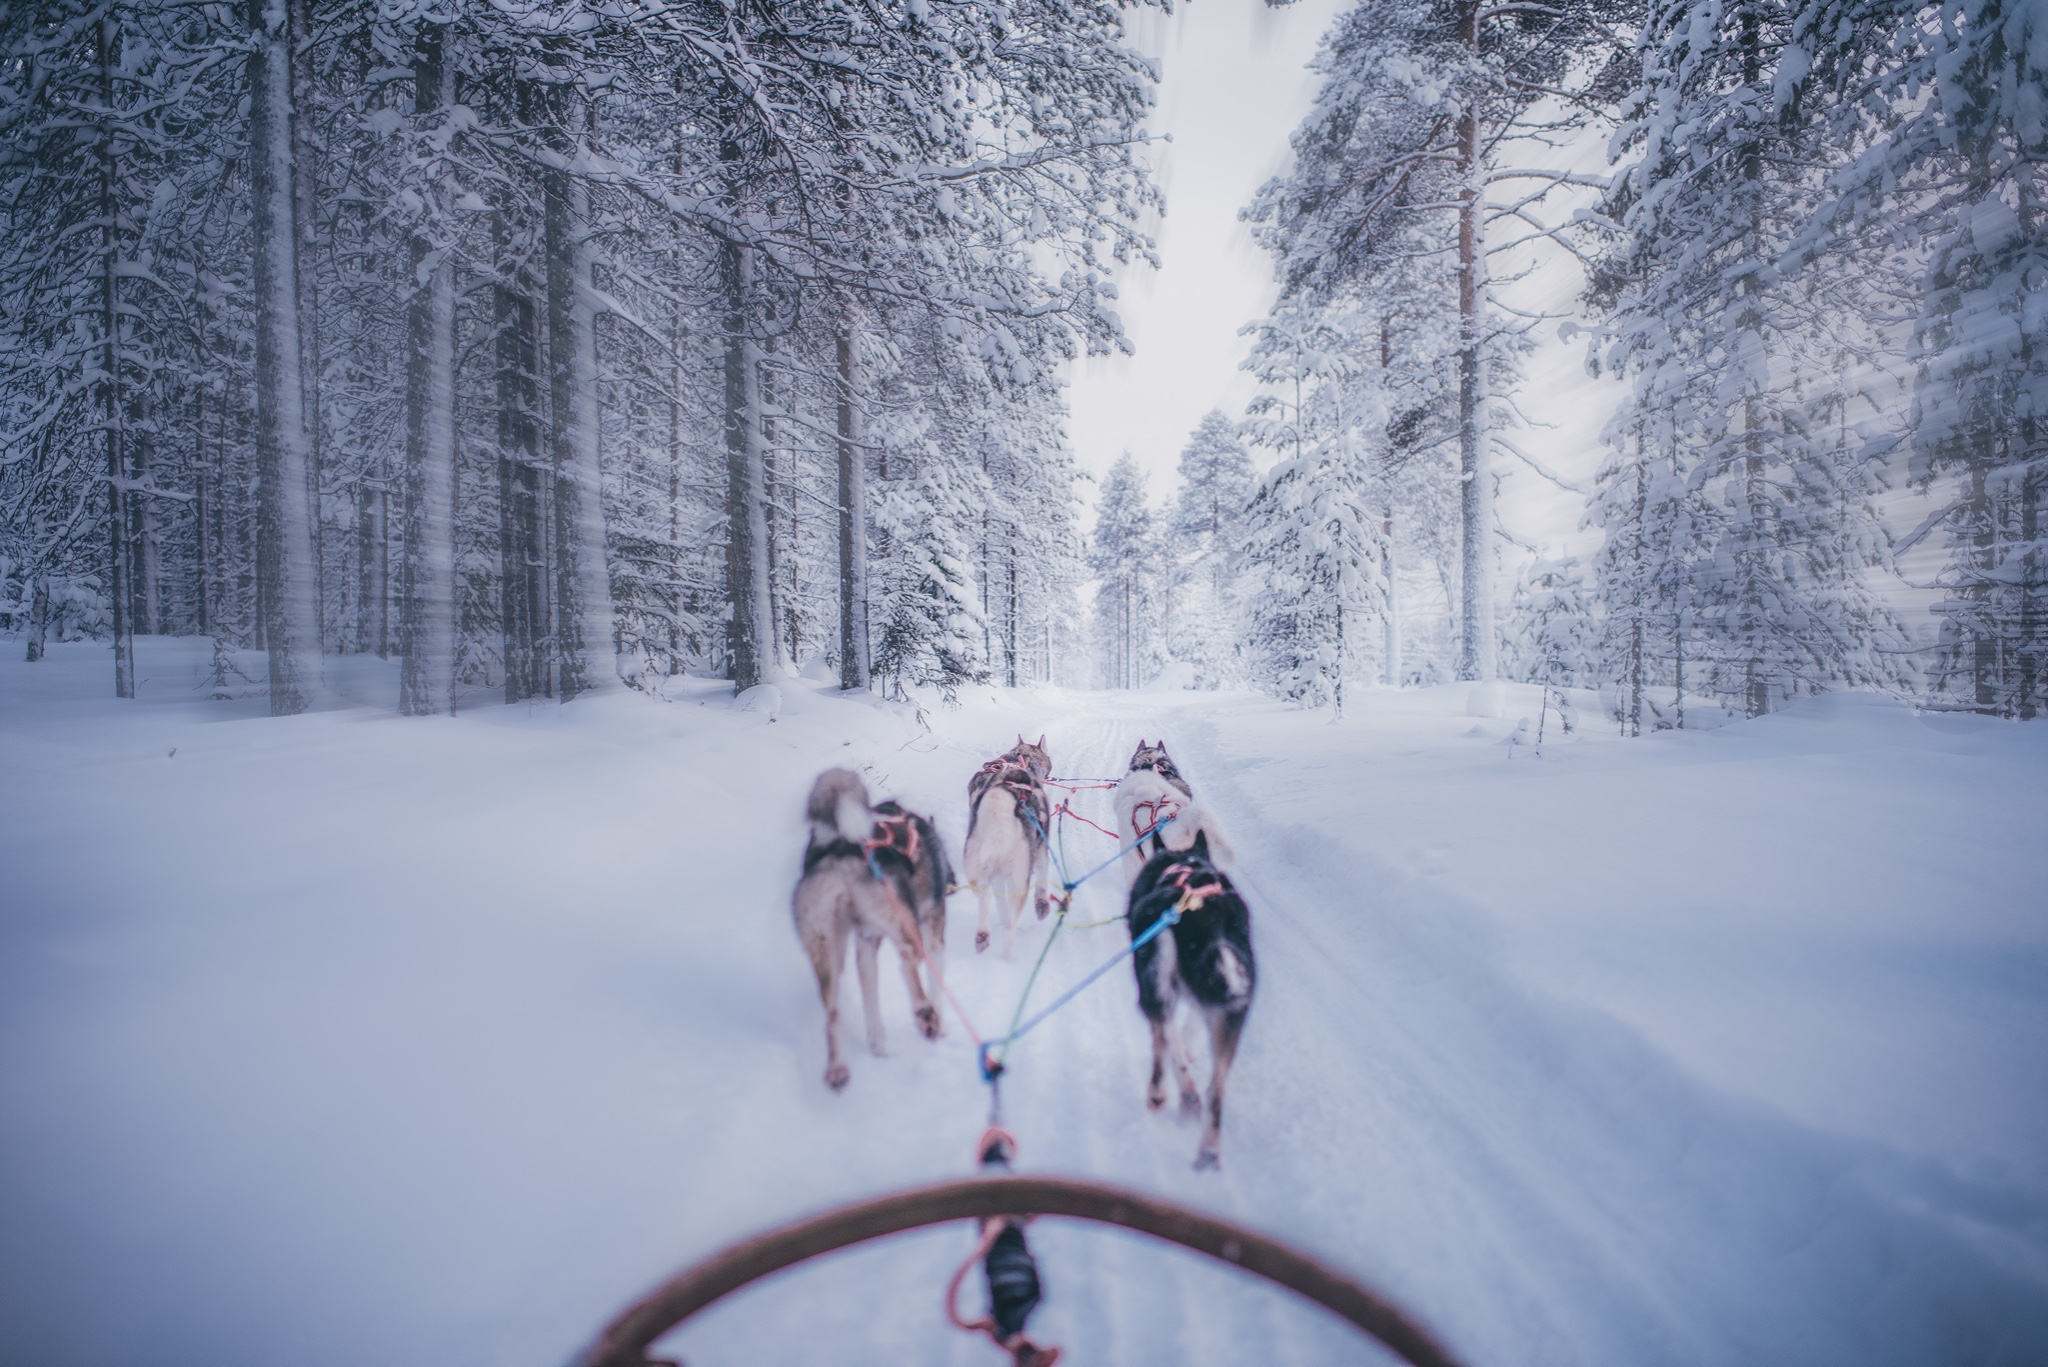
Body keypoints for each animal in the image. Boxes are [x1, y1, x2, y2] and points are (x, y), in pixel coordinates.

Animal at [786, 770, 946, 1090]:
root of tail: (839, 851)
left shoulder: (866, 941)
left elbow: (870, 997)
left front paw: (877, 1045)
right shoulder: (933, 932)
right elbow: (937, 981)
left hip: (824, 944)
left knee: (832, 1012)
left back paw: (837, 1070)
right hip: (904, 922)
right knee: (908, 959)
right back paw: (925, 1015)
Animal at [962, 741, 1056, 959]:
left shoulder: (998, 877)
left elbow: (1000, 903)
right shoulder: (1041, 852)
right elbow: (1042, 883)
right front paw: (1042, 907)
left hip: (978, 874)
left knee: (987, 903)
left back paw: (983, 937)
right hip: (1020, 880)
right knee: (1011, 922)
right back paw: (1009, 955)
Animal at [1130, 827, 1253, 1172]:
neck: (1184, 866)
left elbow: (1164, 1043)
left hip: (1155, 989)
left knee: (1170, 1041)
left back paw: (1174, 1095)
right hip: (1231, 1015)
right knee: (1216, 1089)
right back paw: (1208, 1151)